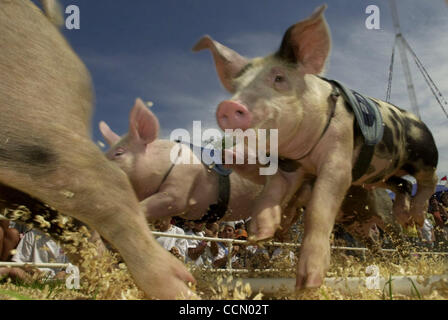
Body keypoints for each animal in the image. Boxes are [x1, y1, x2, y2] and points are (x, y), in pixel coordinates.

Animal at [193, 4, 438, 290]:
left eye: (279, 78)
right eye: (236, 87)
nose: (229, 106)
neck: (304, 154)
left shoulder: (339, 157)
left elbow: (318, 207)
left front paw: (308, 282)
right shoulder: (288, 169)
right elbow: (272, 195)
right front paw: (260, 234)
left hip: (422, 157)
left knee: (426, 183)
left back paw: (414, 220)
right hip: (378, 180)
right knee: (402, 188)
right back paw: (402, 220)